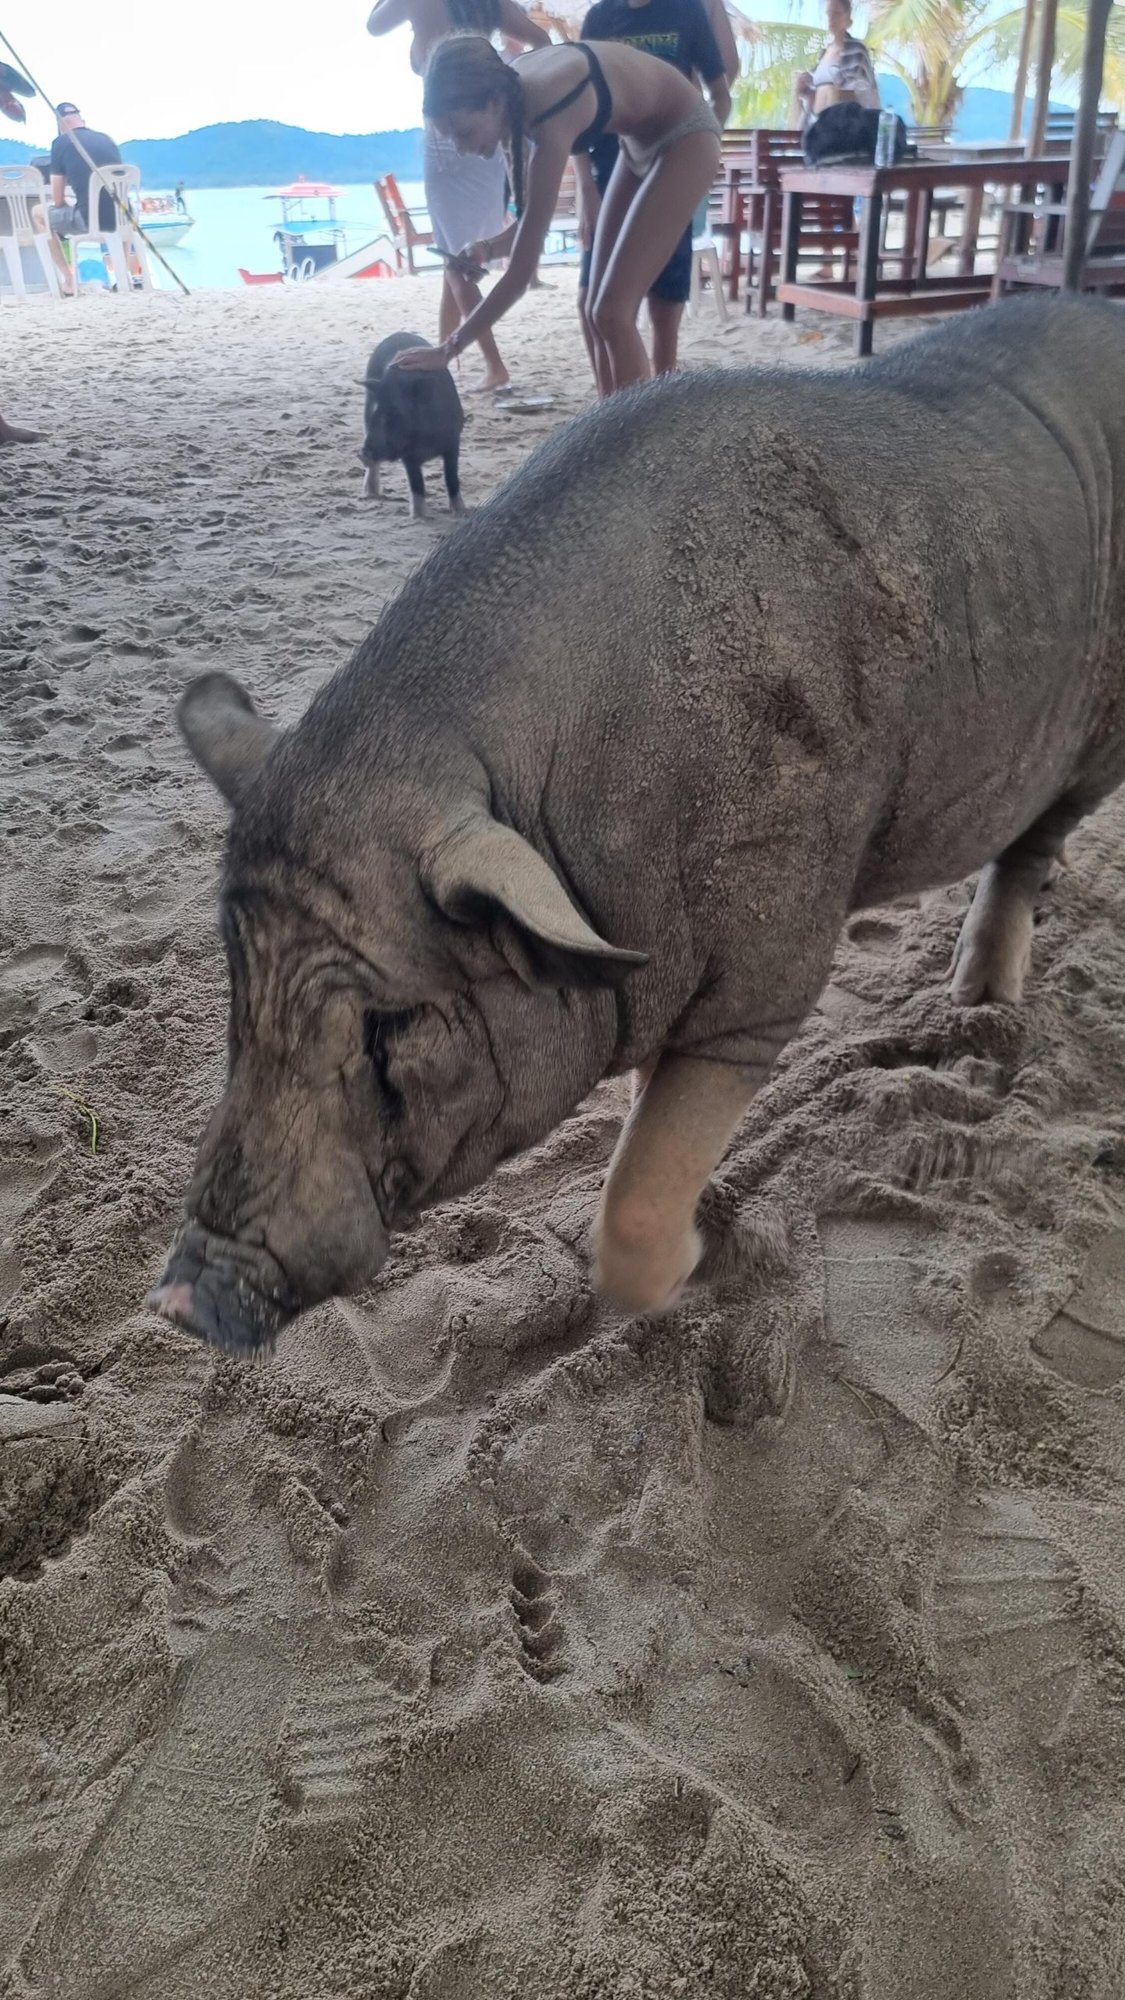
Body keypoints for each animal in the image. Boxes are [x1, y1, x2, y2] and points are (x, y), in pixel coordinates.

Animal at [360, 331, 465, 519]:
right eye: (375, 413)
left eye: (395, 412)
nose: (363, 453)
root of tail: (397, 333)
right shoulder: (408, 455)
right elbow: (416, 482)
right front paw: (420, 516)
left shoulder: (454, 440)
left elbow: (451, 476)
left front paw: (461, 512)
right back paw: (371, 494)